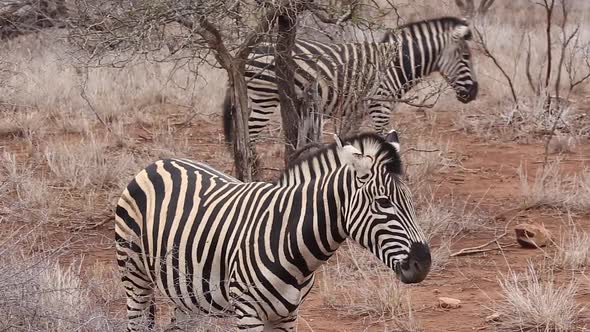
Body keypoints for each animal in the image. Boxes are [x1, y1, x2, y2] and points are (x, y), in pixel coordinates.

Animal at [115, 130, 432, 330]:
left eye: (411, 201)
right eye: (383, 202)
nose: (424, 264)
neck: (289, 238)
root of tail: (156, 163)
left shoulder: (288, 314)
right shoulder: (248, 312)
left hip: (182, 289)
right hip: (135, 278)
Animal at [224, 15, 478, 144]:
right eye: (466, 57)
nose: (474, 92)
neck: (395, 65)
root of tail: (252, 50)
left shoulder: (359, 110)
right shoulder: (380, 105)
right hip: (264, 98)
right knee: (249, 137)